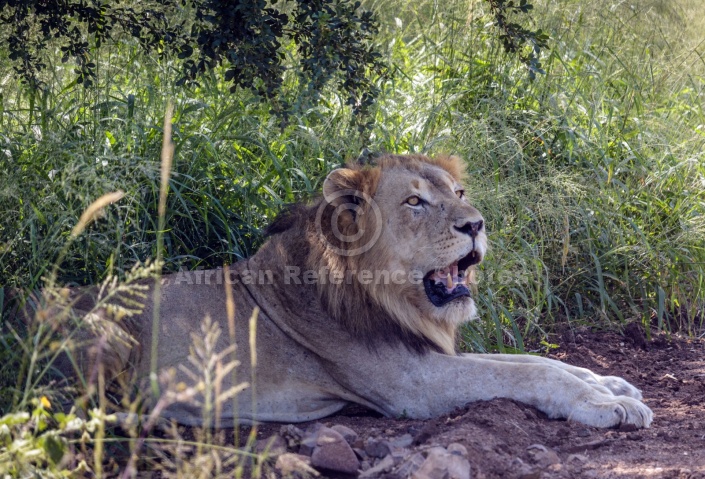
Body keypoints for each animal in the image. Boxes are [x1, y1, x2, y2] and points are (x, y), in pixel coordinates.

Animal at [52, 154, 652, 428]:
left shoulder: (424, 354)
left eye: (458, 193)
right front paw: (608, 406)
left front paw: (612, 384)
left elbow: (532, 360)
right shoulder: (412, 385)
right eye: (415, 202)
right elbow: (530, 373)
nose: (477, 224)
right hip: (107, 332)